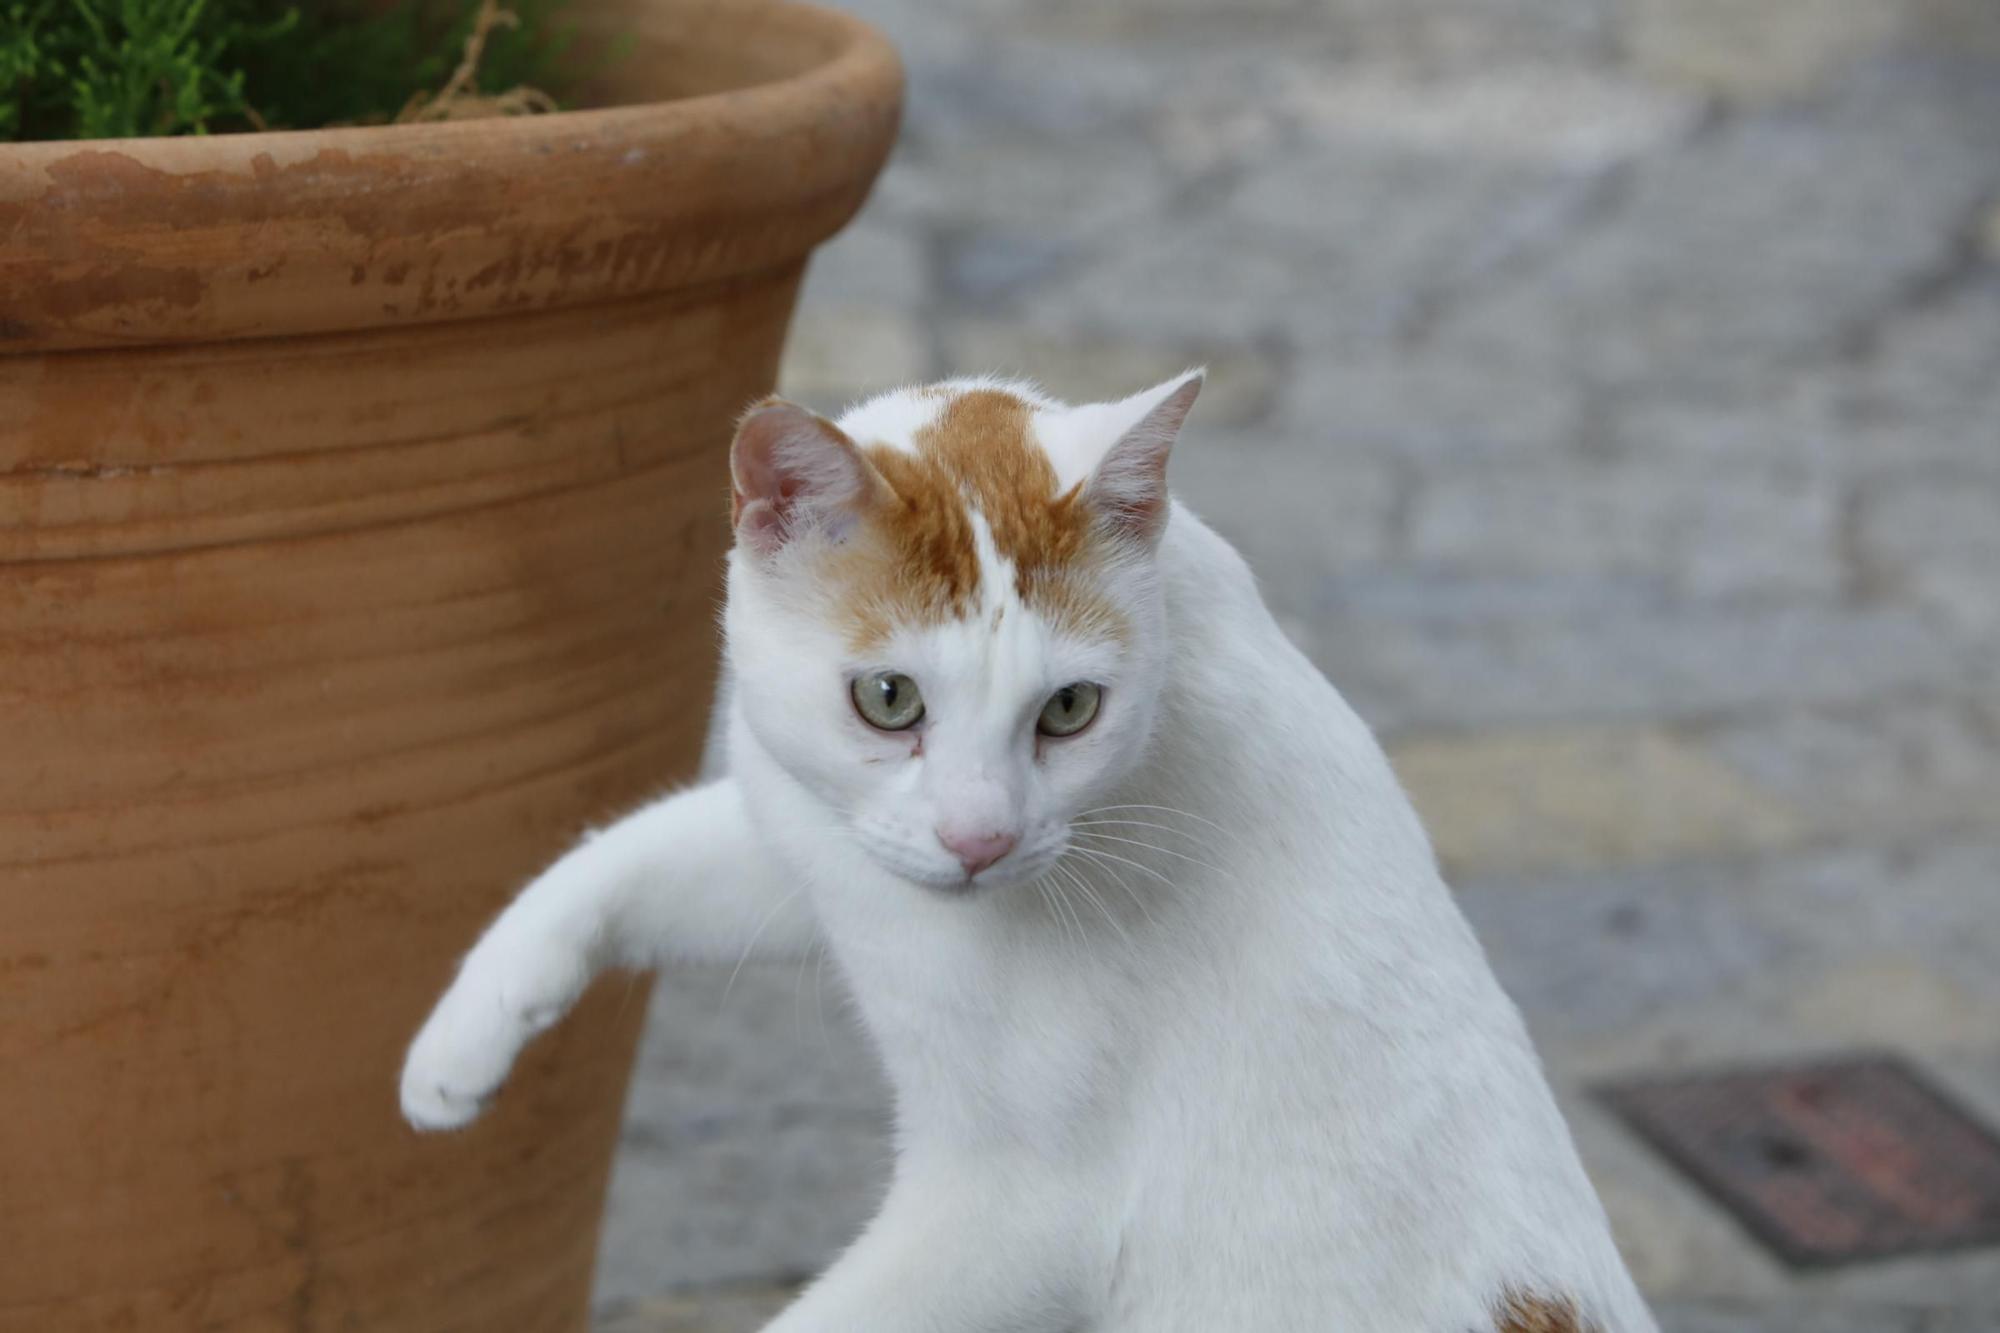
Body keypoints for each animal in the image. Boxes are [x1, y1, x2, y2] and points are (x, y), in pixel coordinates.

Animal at [394, 370, 1656, 1328]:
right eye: (887, 699)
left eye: (1068, 710)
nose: (979, 838)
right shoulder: (819, 838)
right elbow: (623, 856)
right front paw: (461, 1037)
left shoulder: (1018, 1210)